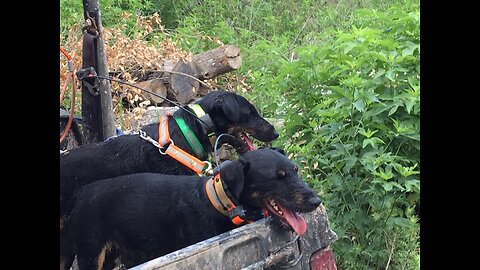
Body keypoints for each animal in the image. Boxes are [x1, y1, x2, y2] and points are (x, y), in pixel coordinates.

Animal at [68, 148, 322, 270]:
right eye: (278, 177)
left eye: (295, 171)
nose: (316, 201)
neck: (220, 203)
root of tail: (80, 194)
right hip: (91, 253)